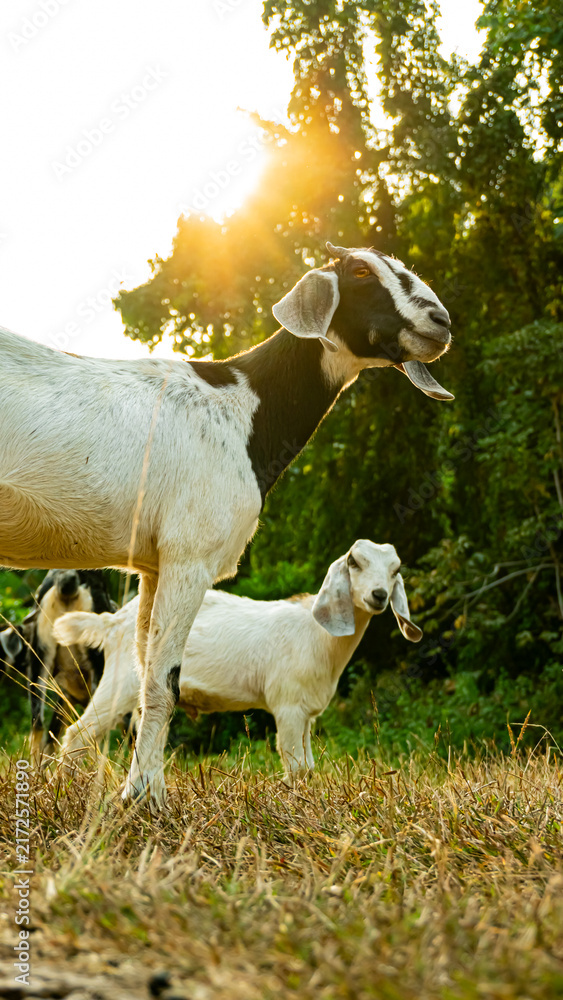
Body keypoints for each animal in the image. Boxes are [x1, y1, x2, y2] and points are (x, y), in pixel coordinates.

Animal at [55, 541, 421, 776]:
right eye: (354, 562)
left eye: (396, 569)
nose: (378, 595)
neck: (317, 635)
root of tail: (114, 621)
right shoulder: (288, 707)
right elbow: (296, 767)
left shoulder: (306, 714)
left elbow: (308, 767)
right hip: (121, 682)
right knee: (77, 734)